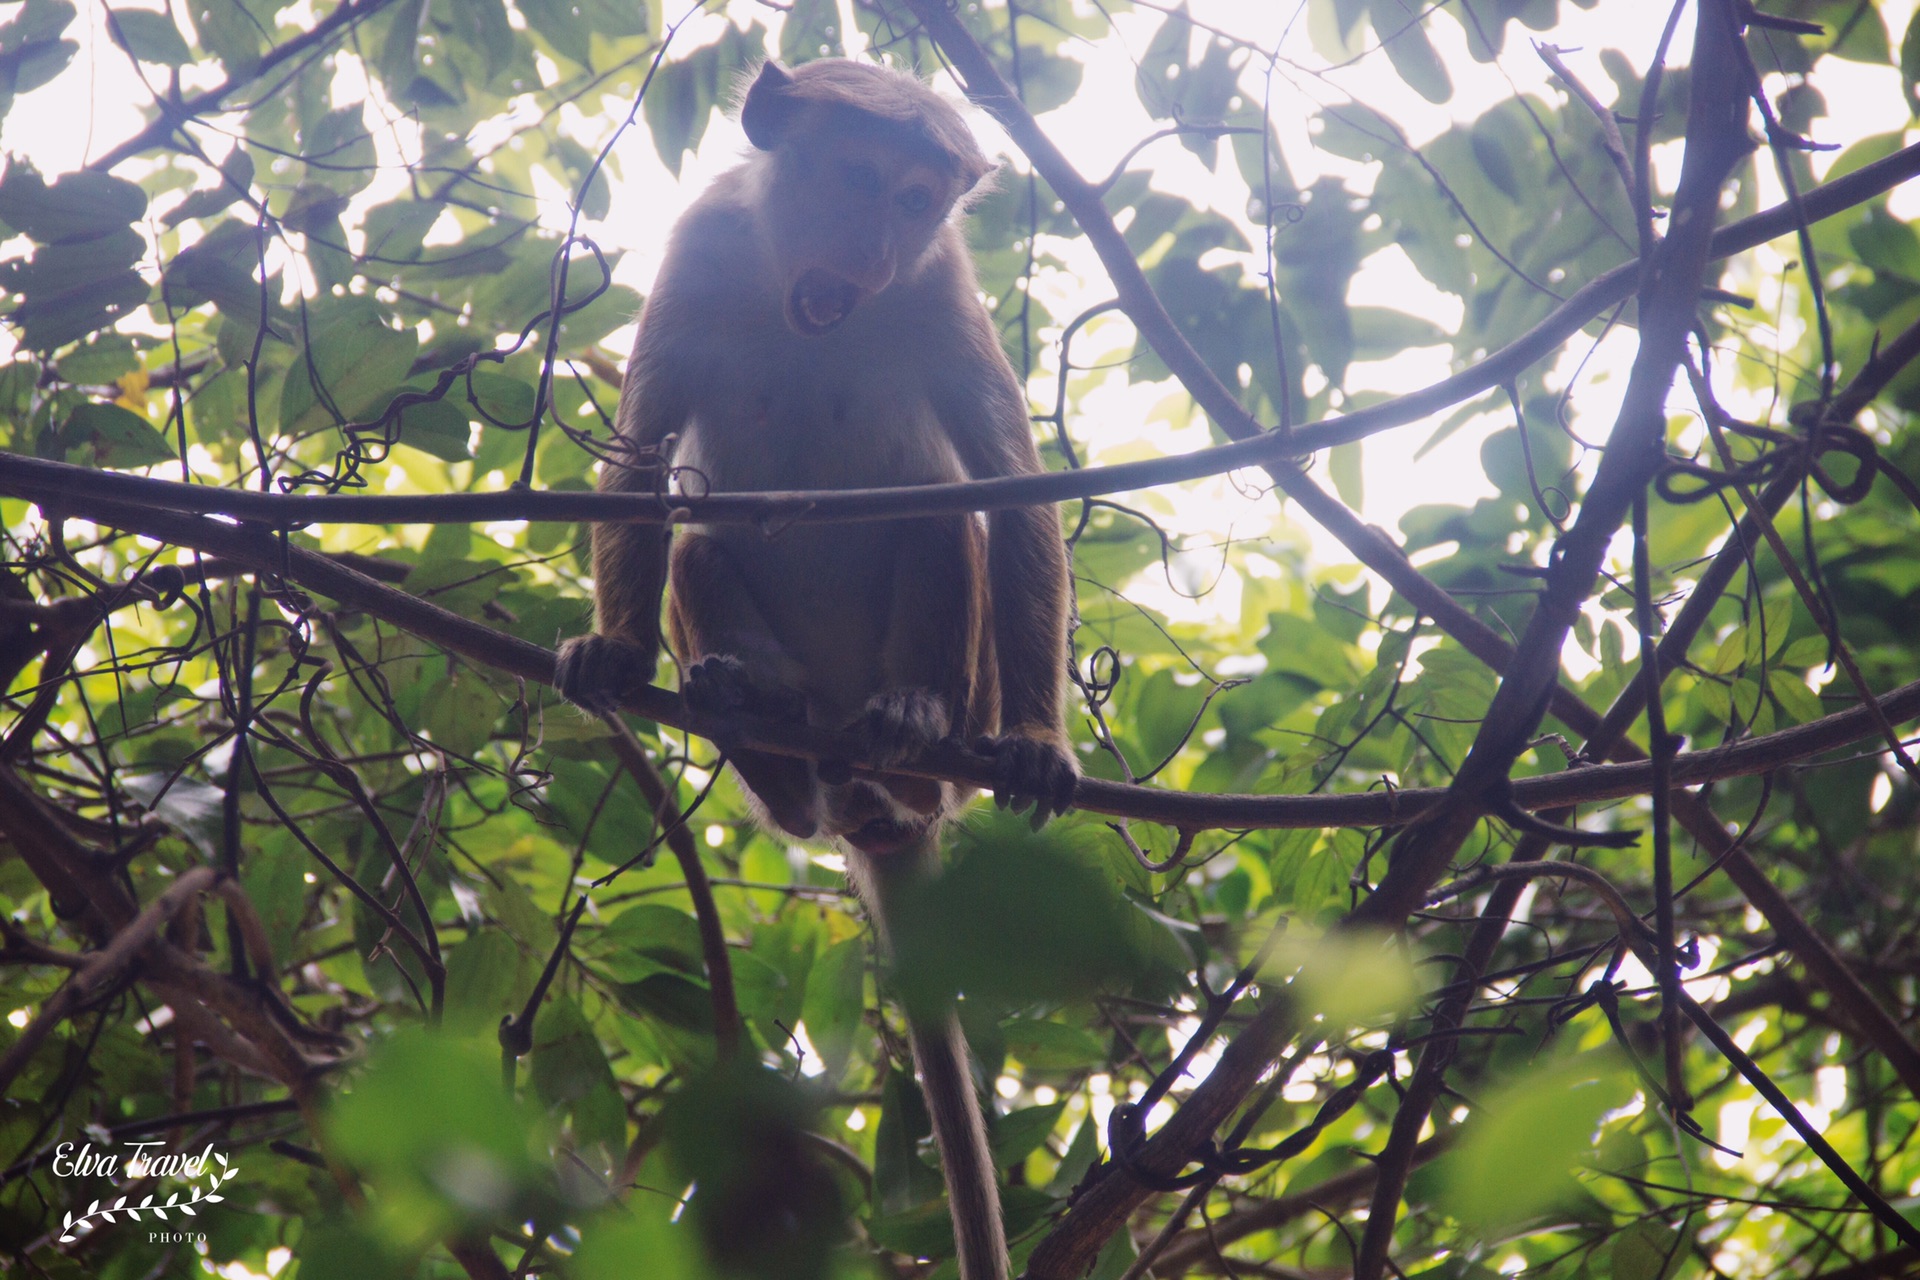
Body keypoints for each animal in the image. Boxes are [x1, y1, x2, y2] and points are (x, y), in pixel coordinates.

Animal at [560, 57, 1082, 1280]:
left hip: (961, 705)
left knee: (939, 523)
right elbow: (642, 454)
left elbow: (1012, 492)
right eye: (858, 179)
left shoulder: (941, 290)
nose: (880, 253)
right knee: (700, 543)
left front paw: (1040, 742)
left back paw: (907, 723)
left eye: (921, 200)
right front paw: (617, 648)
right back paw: (761, 720)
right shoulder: (702, 246)